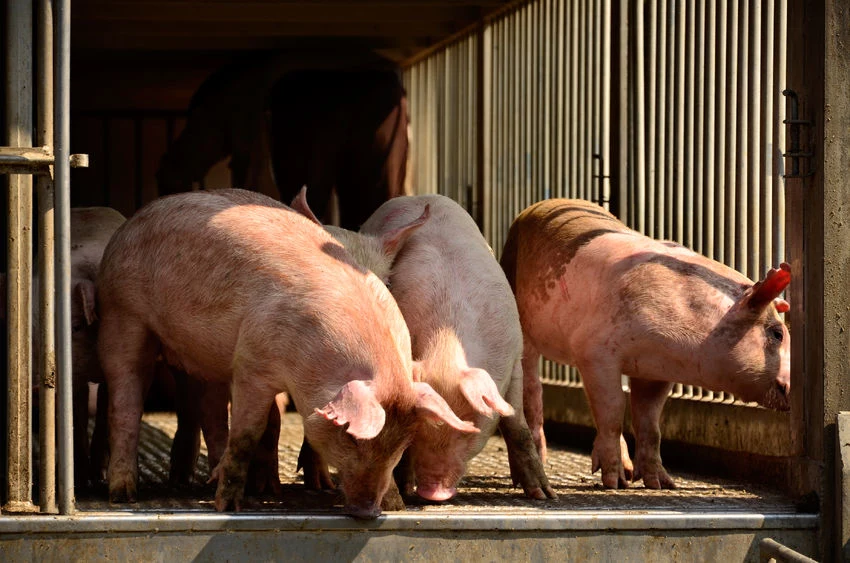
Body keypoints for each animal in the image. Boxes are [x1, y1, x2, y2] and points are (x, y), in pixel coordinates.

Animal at [496, 198, 788, 490]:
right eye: (778, 333)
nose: (789, 385)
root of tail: (535, 207)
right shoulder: (594, 351)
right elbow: (613, 412)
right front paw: (613, 483)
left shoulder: (655, 371)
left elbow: (650, 424)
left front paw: (662, 484)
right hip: (523, 322)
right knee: (532, 392)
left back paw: (627, 474)